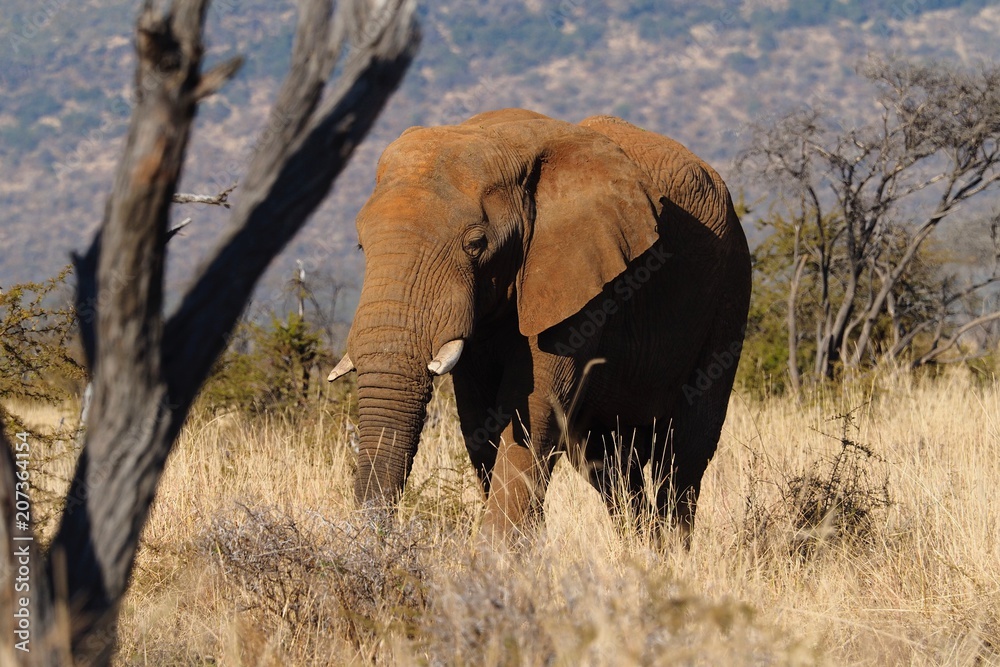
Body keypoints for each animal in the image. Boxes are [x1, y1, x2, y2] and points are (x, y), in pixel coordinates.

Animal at [328, 108, 751, 544]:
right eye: (361, 245)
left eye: (476, 244)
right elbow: (479, 419)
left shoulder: (576, 273)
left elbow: (531, 404)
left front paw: (496, 554)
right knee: (609, 462)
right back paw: (639, 548)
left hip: (730, 288)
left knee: (684, 452)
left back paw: (671, 551)